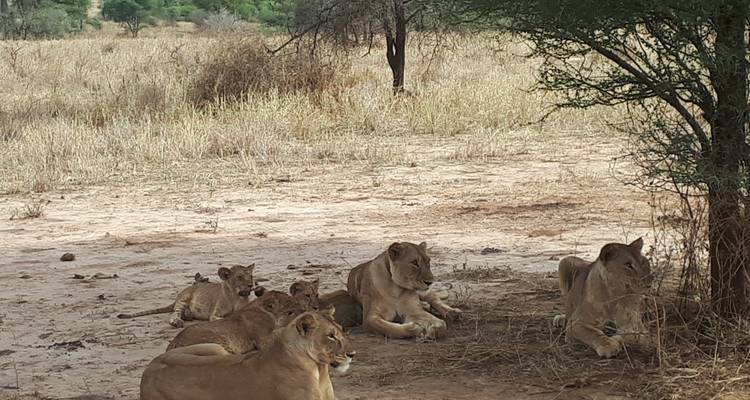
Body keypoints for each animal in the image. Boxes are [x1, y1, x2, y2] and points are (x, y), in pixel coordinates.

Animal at [117, 264, 257, 328]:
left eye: (250, 276)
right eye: (239, 277)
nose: (251, 285)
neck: (236, 296)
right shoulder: (214, 314)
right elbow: (222, 318)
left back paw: (188, 315)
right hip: (183, 299)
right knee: (174, 313)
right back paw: (178, 321)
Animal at [140, 307, 355, 400]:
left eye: (342, 330)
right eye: (331, 336)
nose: (352, 353)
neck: (319, 370)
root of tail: (148, 370)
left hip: (214, 347)